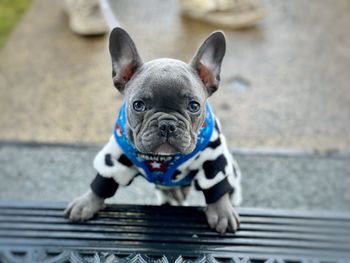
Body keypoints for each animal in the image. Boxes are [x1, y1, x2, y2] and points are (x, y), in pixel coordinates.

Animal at [64, 27, 242, 235]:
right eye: (138, 105)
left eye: (194, 106)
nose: (167, 124)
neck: (161, 159)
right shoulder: (115, 159)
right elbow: (104, 180)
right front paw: (86, 202)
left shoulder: (212, 160)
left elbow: (216, 186)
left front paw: (222, 212)